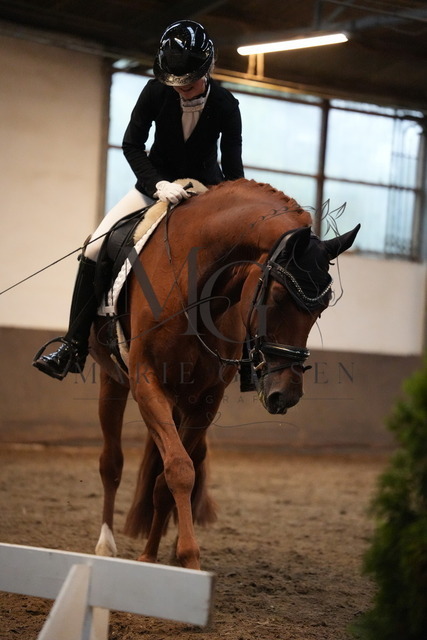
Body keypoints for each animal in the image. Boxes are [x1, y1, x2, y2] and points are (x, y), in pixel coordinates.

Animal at [90, 178, 360, 570]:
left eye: (321, 307)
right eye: (277, 296)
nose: (286, 394)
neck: (195, 286)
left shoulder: (206, 399)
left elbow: (170, 477)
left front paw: (155, 556)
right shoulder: (146, 384)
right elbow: (178, 469)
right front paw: (188, 557)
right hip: (113, 379)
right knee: (111, 462)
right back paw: (105, 546)